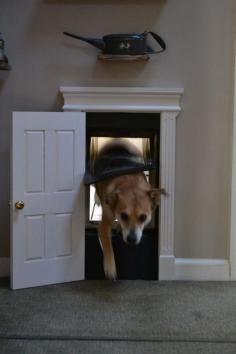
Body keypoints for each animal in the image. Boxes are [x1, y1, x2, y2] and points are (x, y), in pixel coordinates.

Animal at [94, 140, 160, 280]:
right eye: (123, 215)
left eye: (143, 217)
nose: (131, 240)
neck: (131, 185)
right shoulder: (104, 224)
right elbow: (107, 244)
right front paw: (110, 267)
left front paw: (119, 226)